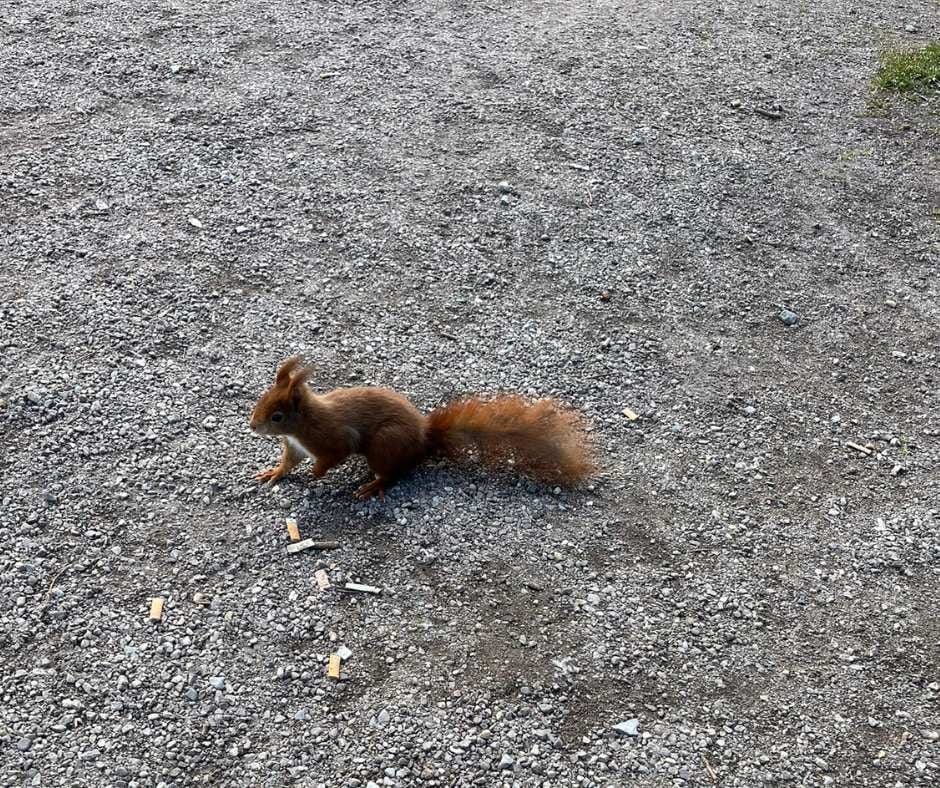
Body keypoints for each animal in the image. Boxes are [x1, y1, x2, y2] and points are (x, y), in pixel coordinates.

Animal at [249, 356, 595, 500]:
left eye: (277, 416)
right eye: (261, 399)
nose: (253, 426)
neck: (302, 424)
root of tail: (424, 438)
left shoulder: (332, 438)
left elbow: (336, 454)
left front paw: (316, 473)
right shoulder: (295, 446)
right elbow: (287, 463)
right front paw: (273, 473)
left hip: (384, 445)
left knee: (393, 474)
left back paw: (373, 487)